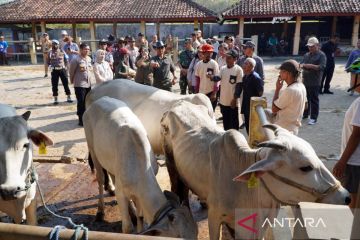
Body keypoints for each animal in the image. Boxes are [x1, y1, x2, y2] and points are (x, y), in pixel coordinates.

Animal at [83, 97, 198, 238]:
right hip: (92, 149)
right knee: (99, 179)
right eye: (178, 237)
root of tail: (99, 100)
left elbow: (140, 217)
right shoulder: (121, 193)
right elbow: (127, 228)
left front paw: (136, 218)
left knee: (112, 174)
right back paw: (100, 212)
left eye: (196, 233)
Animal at [160, 101, 348, 240]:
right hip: (171, 164)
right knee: (179, 188)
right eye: (305, 167)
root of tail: (177, 105)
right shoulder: (214, 218)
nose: (346, 196)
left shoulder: (263, 222)